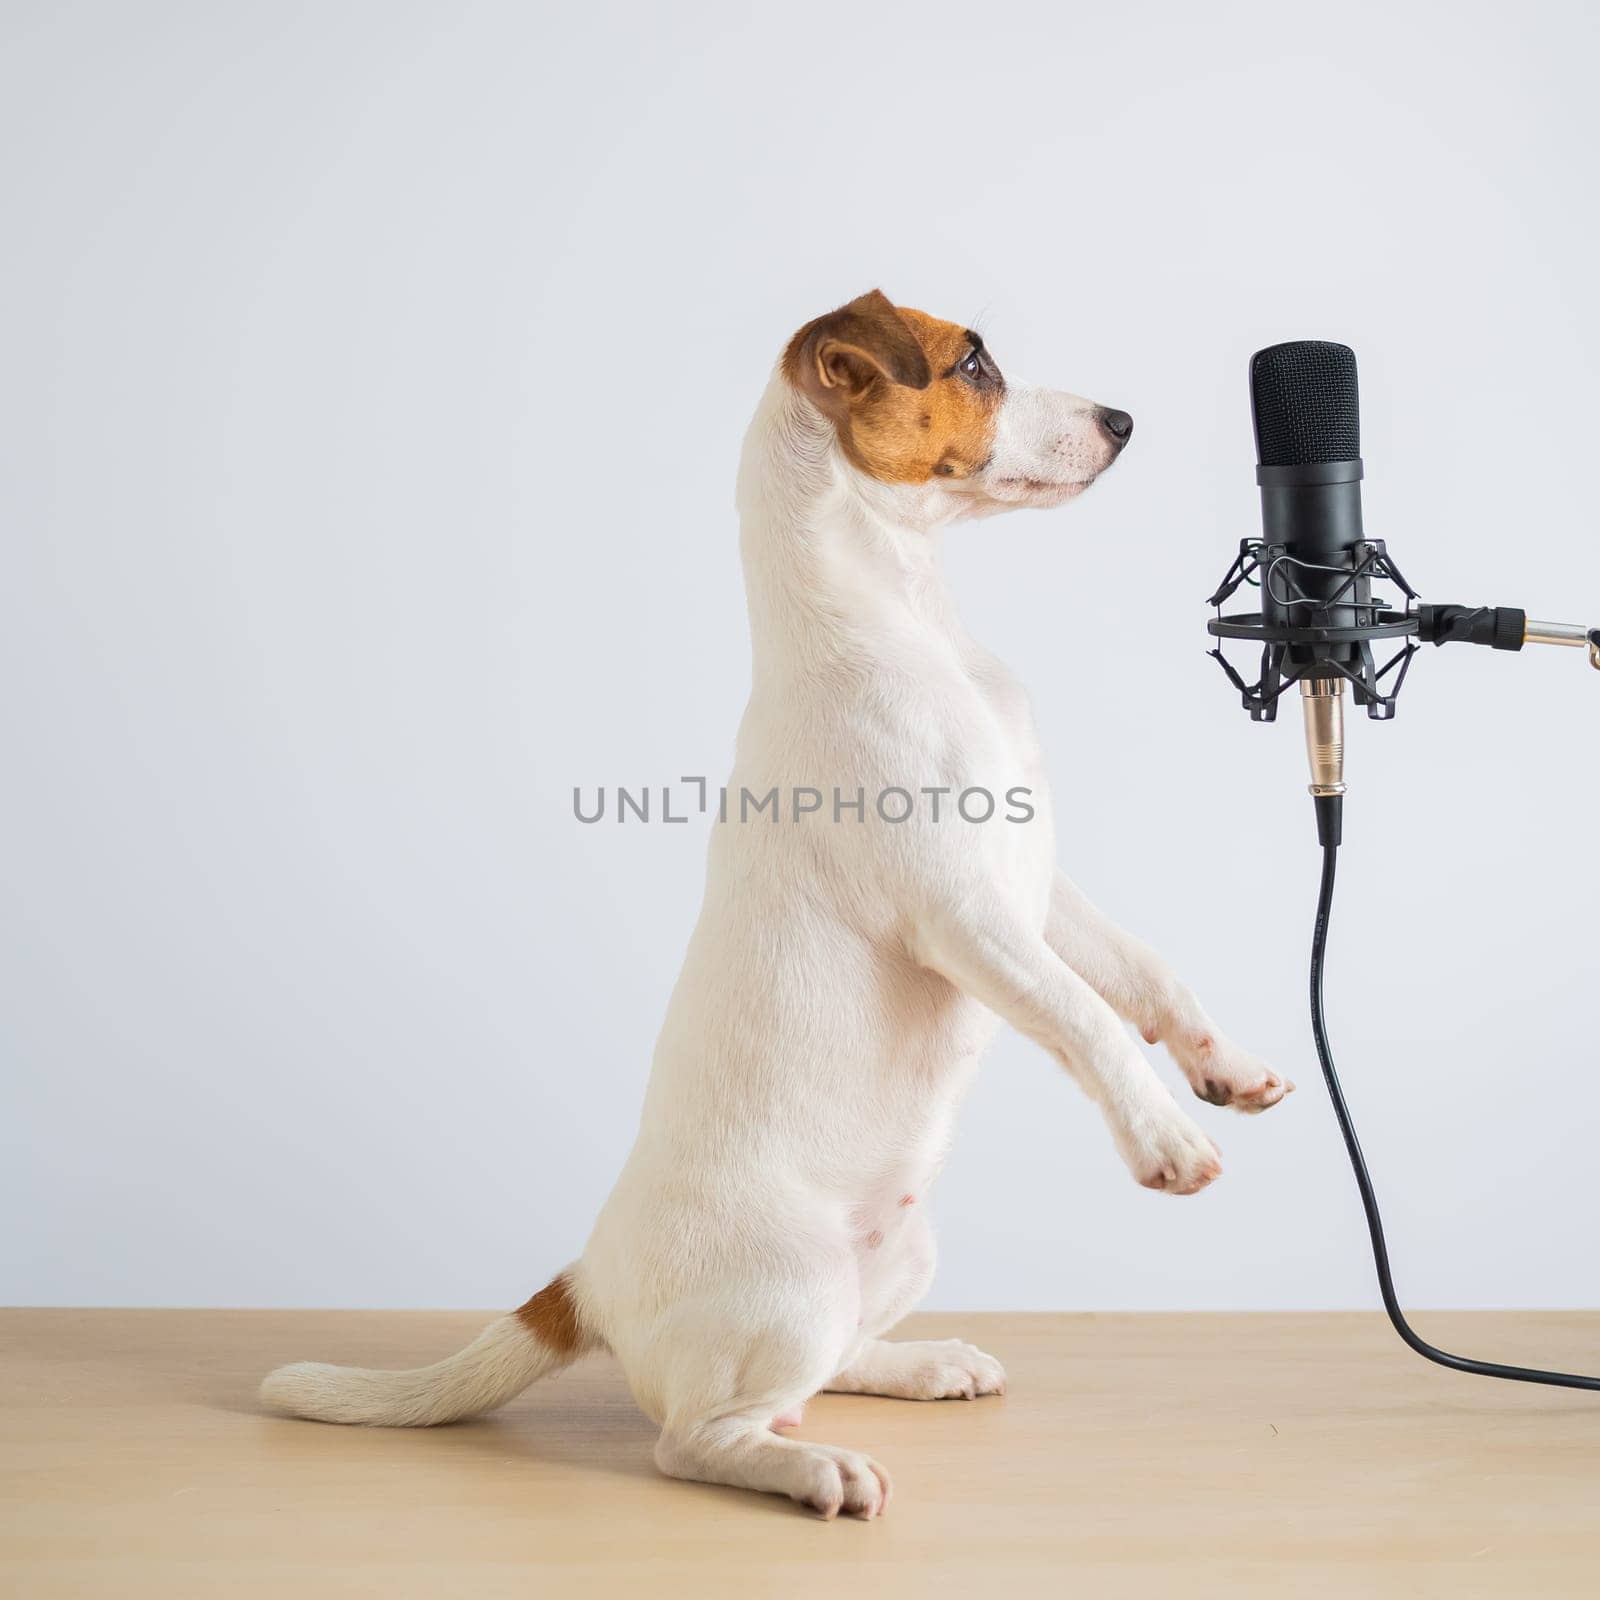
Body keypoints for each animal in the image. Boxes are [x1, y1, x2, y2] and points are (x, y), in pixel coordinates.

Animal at [259, 291, 1286, 1523]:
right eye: (973, 363)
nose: (1123, 420)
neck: (908, 619)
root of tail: (585, 1280)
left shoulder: (1036, 889)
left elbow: (1144, 973)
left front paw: (1227, 1069)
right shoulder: (962, 917)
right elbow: (1086, 1018)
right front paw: (1165, 1138)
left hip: (894, 1261)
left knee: (826, 1369)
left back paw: (922, 1365)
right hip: (790, 1290)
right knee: (699, 1437)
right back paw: (815, 1470)